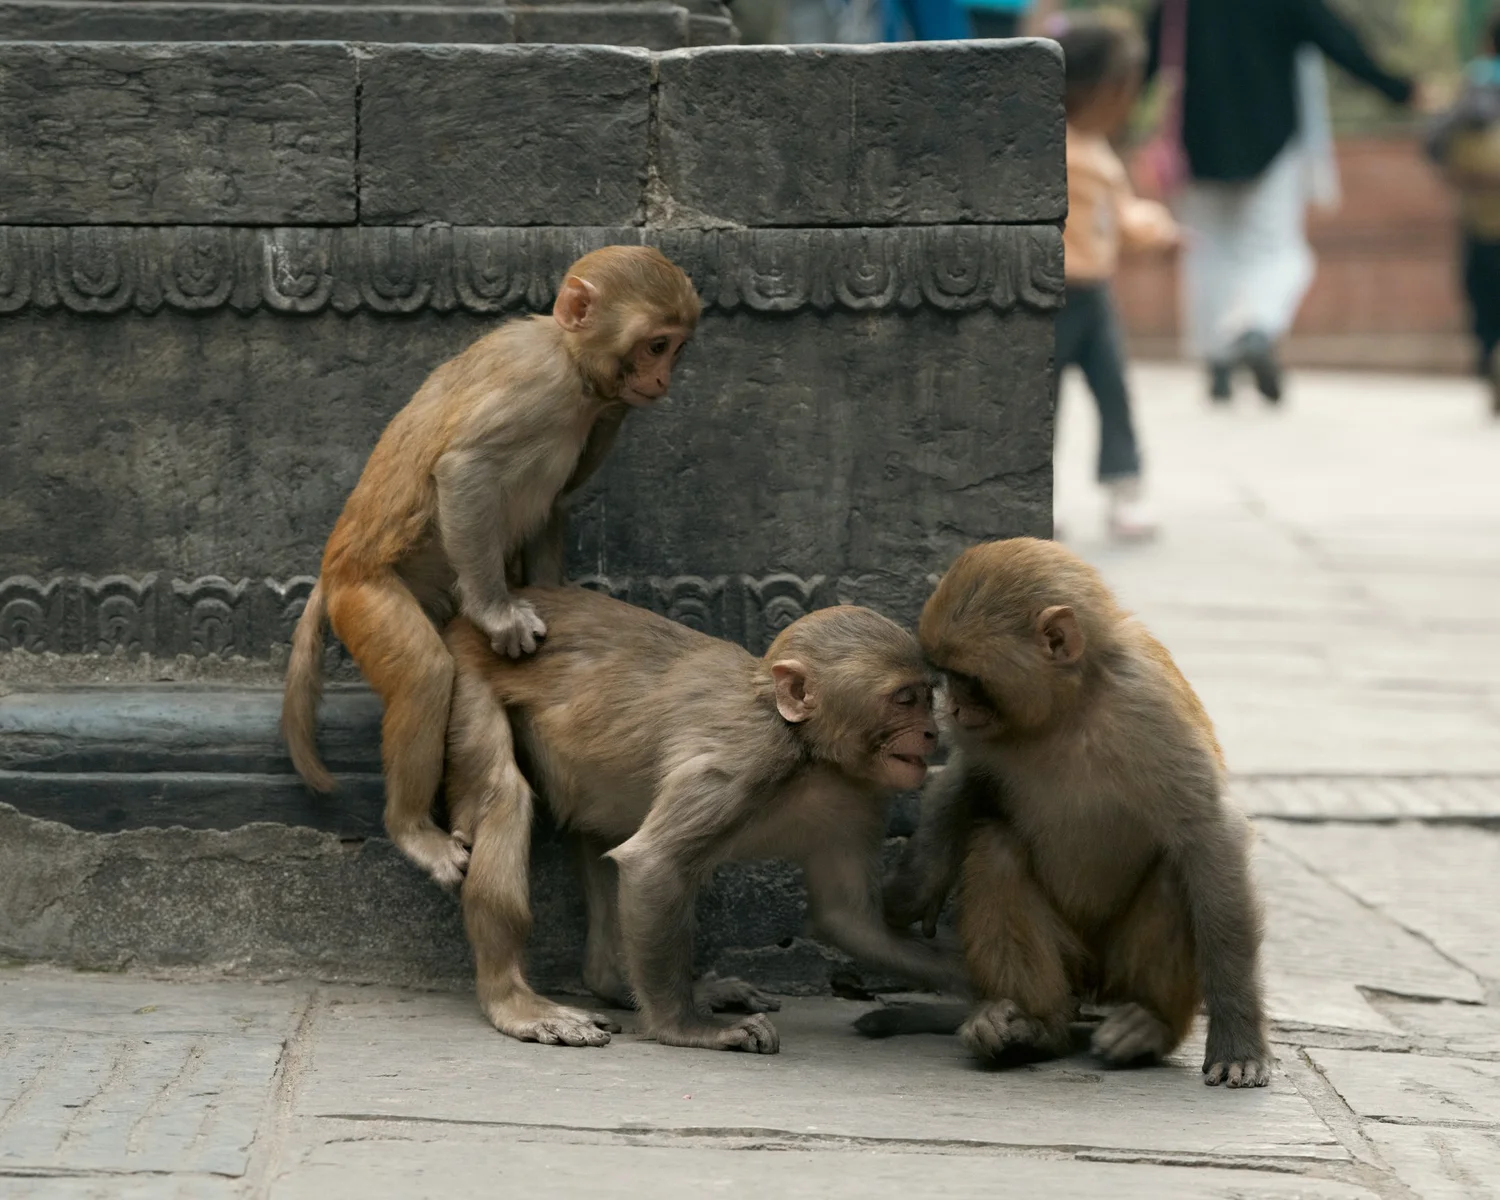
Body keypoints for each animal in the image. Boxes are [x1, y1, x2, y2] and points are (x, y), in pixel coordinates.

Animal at [280, 246, 701, 889]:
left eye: (677, 348)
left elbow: (554, 506)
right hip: (365, 595)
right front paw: (499, 616)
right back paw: (412, 830)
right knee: (424, 670)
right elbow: (465, 470)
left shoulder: (606, 412)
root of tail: (333, 573)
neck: (570, 363)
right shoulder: (536, 384)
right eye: (657, 344)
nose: (663, 379)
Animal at [441, 586, 971, 1051]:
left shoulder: (859, 799)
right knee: (504, 794)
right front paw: (686, 1029)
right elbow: (652, 863)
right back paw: (515, 1002)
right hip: (466, 671)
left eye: (927, 696)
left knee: (602, 822)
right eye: (905, 699)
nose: (931, 732)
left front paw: (981, 983)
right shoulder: (744, 761)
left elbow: (850, 919)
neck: (808, 752)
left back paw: (613, 980)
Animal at [856, 538, 1272, 1088]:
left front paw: (1237, 1035)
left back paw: (1148, 1025)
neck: (1070, 708)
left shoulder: (1150, 708)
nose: (956, 711)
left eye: (969, 680)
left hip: (1110, 966)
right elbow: (967, 777)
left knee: (1174, 874)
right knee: (997, 851)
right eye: (948, 678)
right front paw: (918, 883)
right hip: (1067, 958)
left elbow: (1209, 836)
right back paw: (1031, 1027)